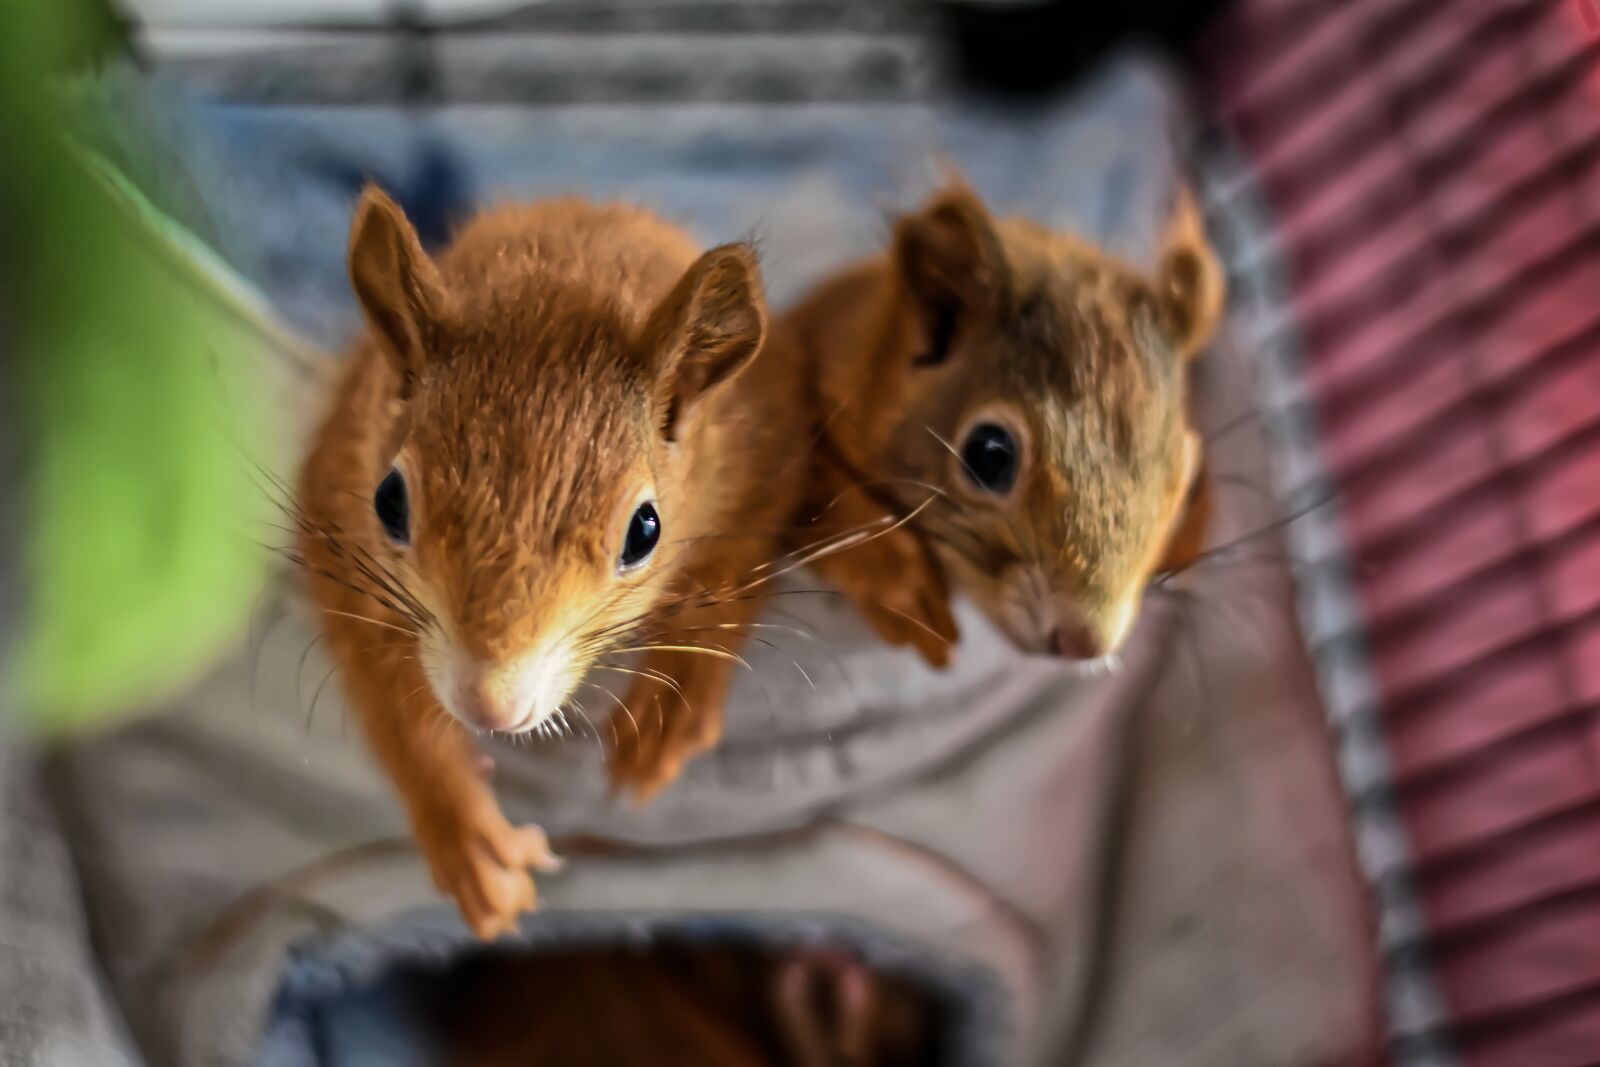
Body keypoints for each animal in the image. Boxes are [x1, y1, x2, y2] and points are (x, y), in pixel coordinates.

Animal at [296, 187, 861, 937]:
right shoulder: (337, 507)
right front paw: (471, 843)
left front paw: (666, 714)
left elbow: (728, 579)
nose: (491, 706)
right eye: (388, 500)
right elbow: (391, 700)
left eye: (645, 531)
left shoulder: (764, 452)